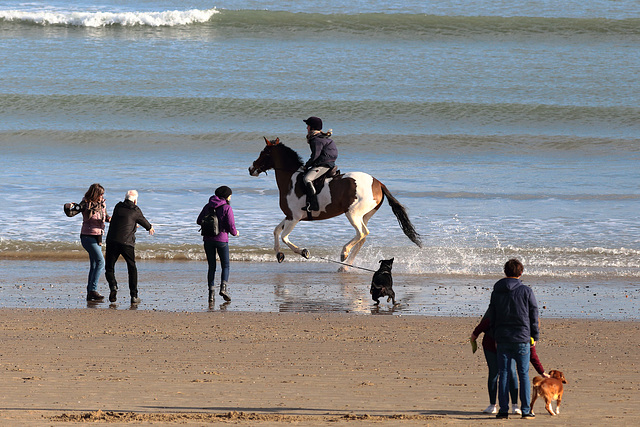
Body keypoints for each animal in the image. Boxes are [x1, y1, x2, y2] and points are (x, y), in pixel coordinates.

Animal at [248, 137, 422, 270]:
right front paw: (279, 254)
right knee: (362, 237)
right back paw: (345, 266)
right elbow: (276, 231)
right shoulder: (289, 216)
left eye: (265, 153)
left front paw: (304, 252)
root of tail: (378, 183)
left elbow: (284, 237)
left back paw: (344, 253)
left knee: (362, 233)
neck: (291, 179)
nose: (251, 169)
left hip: (353, 213)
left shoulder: (295, 217)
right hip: (364, 215)